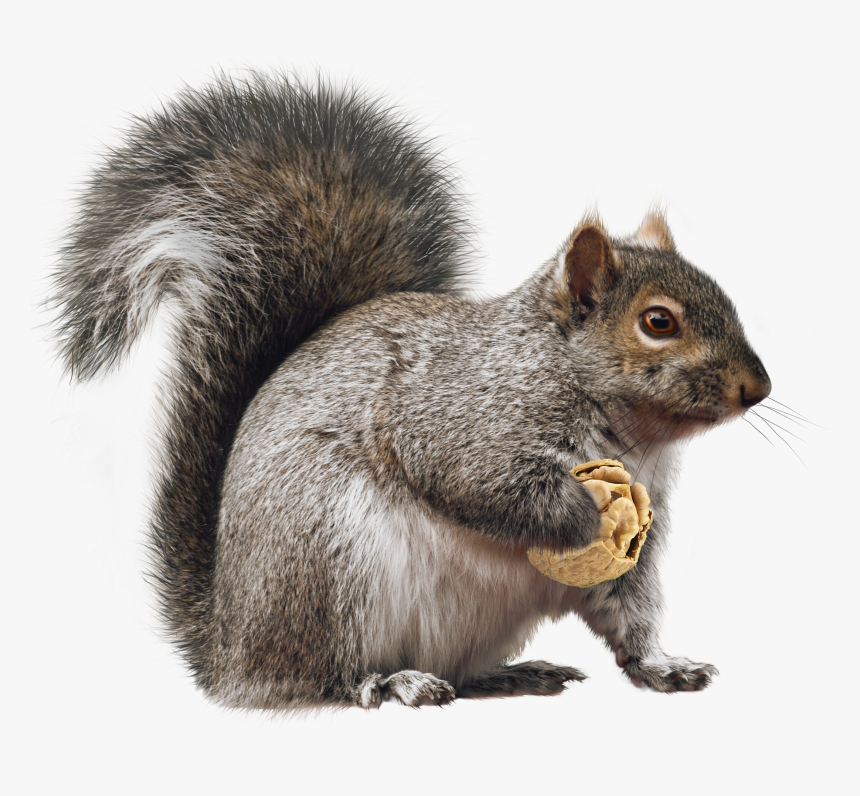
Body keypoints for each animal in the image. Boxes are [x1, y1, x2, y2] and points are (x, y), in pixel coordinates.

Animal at [49, 71, 771, 709]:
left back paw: (510, 675)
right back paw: (392, 682)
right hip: (334, 566)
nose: (758, 388)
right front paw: (583, 513)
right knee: (326, 674)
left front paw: (662, 664)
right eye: (658, 322)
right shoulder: (458, 416)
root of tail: (228, 645)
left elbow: (628, 604)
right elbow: (477, 481)